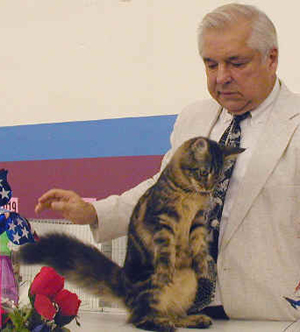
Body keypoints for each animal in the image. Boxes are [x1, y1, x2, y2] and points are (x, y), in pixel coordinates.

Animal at [18, 136, 244, 332]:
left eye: (218, 176)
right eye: (204, 172)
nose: (208, 188)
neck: (190, 195)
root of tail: (125, 284)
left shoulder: (197, 221)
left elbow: (198, 246)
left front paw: (202, 266)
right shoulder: (162, 221)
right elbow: (166, 251)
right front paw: (167, 270)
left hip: (187, 290)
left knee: (173, 314)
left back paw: (193, 319)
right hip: (152, 289)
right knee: (141, 317)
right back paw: (162, 323)